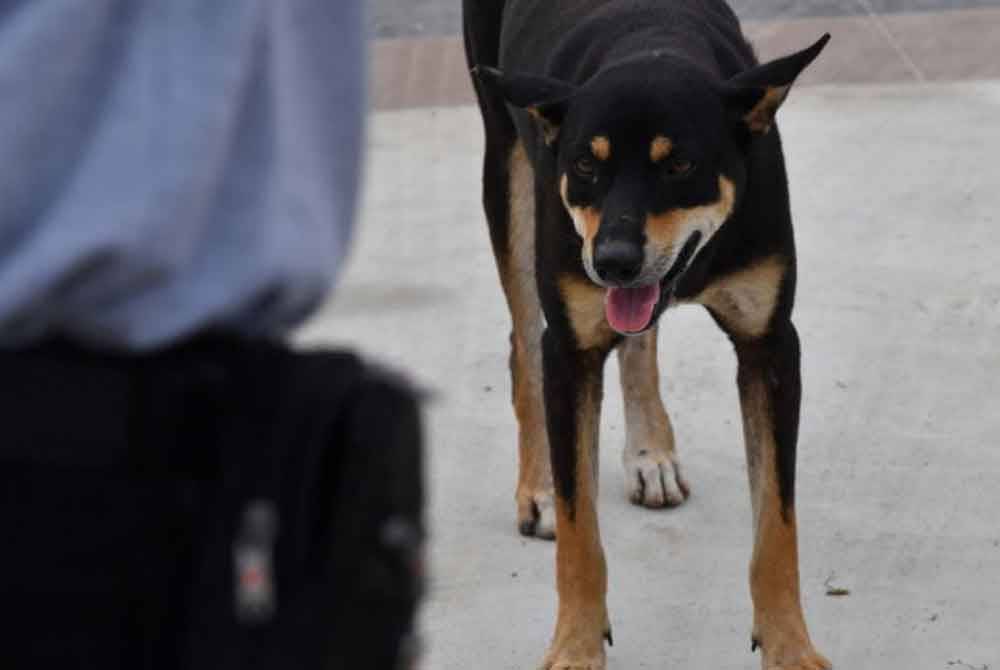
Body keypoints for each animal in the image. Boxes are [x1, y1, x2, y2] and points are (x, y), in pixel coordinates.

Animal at [464, 1, 832, 670]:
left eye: (679, 164)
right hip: (505, 167)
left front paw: (790, 646)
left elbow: (777, 524)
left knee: (636, 337)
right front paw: (576, 646)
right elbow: (579, 530)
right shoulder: (570, 349)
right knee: (523, 346)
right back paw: (539, 487)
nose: (611, 262)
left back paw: (649, 454)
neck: (650, 45)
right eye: (586, 166)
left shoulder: (770, 347)